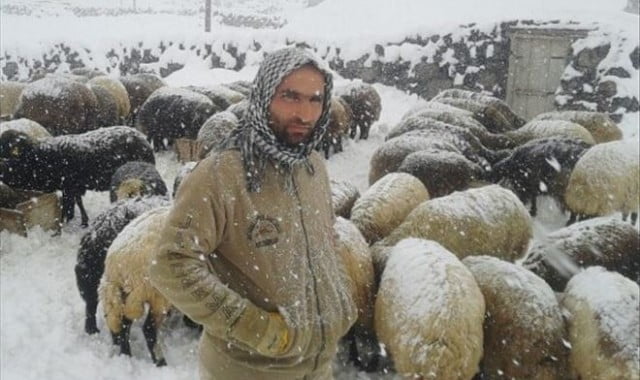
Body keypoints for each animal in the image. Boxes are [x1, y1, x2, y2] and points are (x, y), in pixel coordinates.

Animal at [0, 126, 155, 226]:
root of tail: (143, 140)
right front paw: (79, 219)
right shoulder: (73, 186)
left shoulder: (69, 186)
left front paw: (65, 219)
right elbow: (77, 201)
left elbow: (70, 202)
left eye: (5, 147)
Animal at [99, 206, 172, 366]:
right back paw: (160, 362)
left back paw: (126, 355)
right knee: (148, 329)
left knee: (123, 323)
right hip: (155, 293)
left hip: (125, 294)